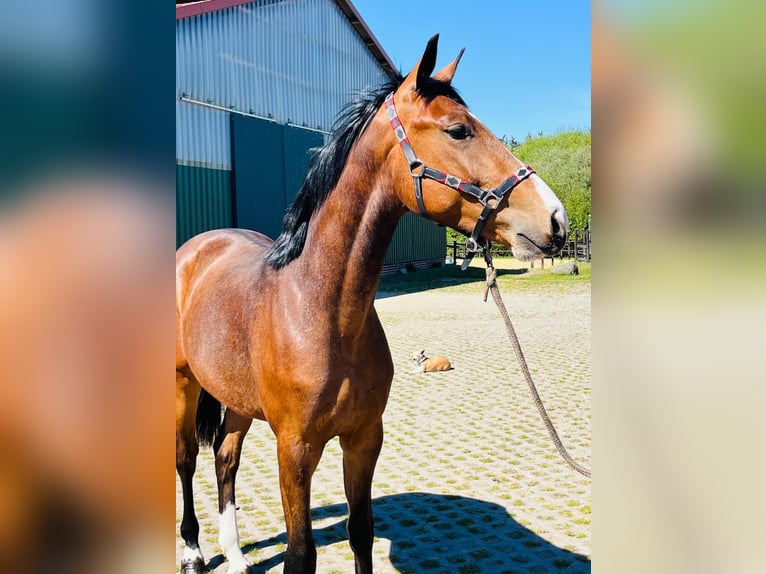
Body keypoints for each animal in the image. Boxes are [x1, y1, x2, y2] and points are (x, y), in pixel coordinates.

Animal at [176, 34, 568, 574]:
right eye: (459, 130)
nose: (556, 219)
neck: (323, 312)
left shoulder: (364, 439)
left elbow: (360, 532)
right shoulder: (294, 449)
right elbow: (301, 554)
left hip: (235, 398)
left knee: (225, 458)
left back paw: (234, 555)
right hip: (183, 385)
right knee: (187, 459)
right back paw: (194, 551)